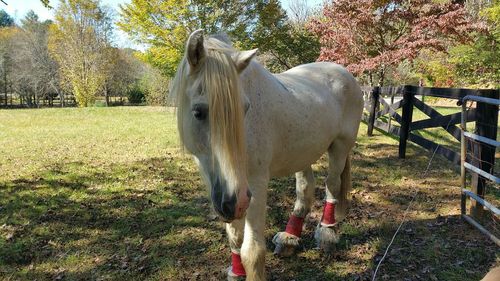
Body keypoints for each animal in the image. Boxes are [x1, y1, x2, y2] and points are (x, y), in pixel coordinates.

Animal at [172, 29, 364, 278]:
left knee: (332, 185)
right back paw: (289, 238)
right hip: (302, 154)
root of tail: (344, 72)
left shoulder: (254, 184)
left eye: (245, 108)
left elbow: (252, 252)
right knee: (305, 190)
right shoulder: (223, 189)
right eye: (197, 112)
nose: (234, 201)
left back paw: (326, 233)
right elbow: (235, 238)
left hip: (340, 147)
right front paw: (236, 272)